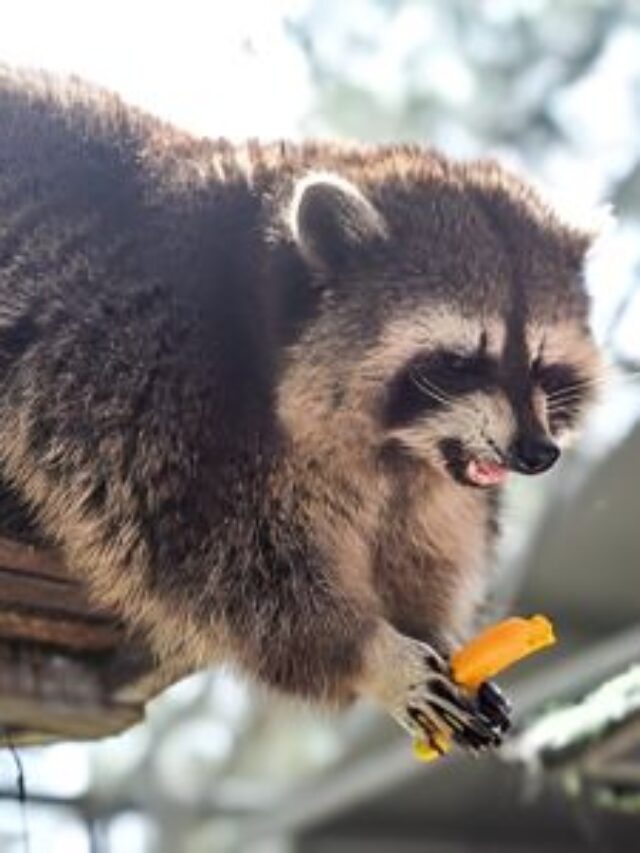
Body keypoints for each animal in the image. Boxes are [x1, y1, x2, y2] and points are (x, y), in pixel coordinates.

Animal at [0, 68, 601, 751]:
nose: (538, 454)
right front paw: (373, 652)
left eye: (543, 366)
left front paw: (429, 627)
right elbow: (216, 565)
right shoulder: (156, 387)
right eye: (459, 362)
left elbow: (421, 542)